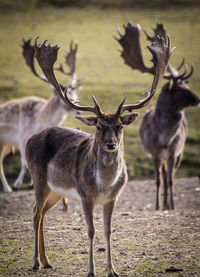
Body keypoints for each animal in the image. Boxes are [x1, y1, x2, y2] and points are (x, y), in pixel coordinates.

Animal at [0, 38, 79, 191]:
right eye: (62, 98)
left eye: (76, 95)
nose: (78, 110)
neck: (40, 120)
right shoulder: (22, 138)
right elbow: (24, 163)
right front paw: (18, 184)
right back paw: (8, 188)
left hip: (5, 144)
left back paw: (7, 187)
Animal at [24, 24, 172, 276]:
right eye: (99, 126)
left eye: (120, 125)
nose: (111, 144)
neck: (104, 185)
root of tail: (28, 140)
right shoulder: (85, 196)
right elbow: (91, 230)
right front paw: (91, 270)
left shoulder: (113, 198)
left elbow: (107, 231)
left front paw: (112, 270)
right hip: (39, 179)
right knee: (34, 213)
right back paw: (35, 262)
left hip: (56, 190)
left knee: (41, 213)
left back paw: (46, 260)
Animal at [119, 23, 199, 209]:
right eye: (178, 89)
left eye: (186, 85)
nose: (198, 99)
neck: (164, 138)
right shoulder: (155, 153)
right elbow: (157, 180)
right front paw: (157, 206)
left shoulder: (174, 152)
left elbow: (170, 180)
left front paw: (171, 205)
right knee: (162, 175)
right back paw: (163, 203)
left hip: (178, 155)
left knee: (169, 176)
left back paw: (167, 203)